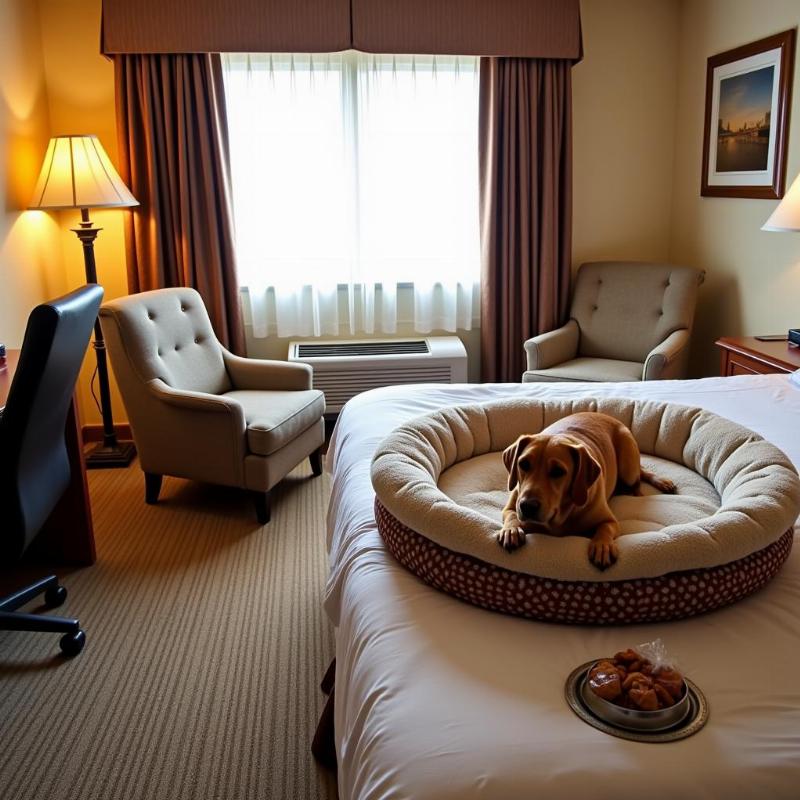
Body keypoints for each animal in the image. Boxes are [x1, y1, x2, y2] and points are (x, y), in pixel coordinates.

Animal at [500, 412, 676, 568]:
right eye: (523, 464)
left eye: (558, 471)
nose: (527, 506)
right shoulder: (512, 504)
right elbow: (511, 515)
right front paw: (511, 530)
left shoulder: (610, 520)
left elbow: (605, 527)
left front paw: (602, 546)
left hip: (628, 466)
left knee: (639, 474)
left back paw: (657, 483)